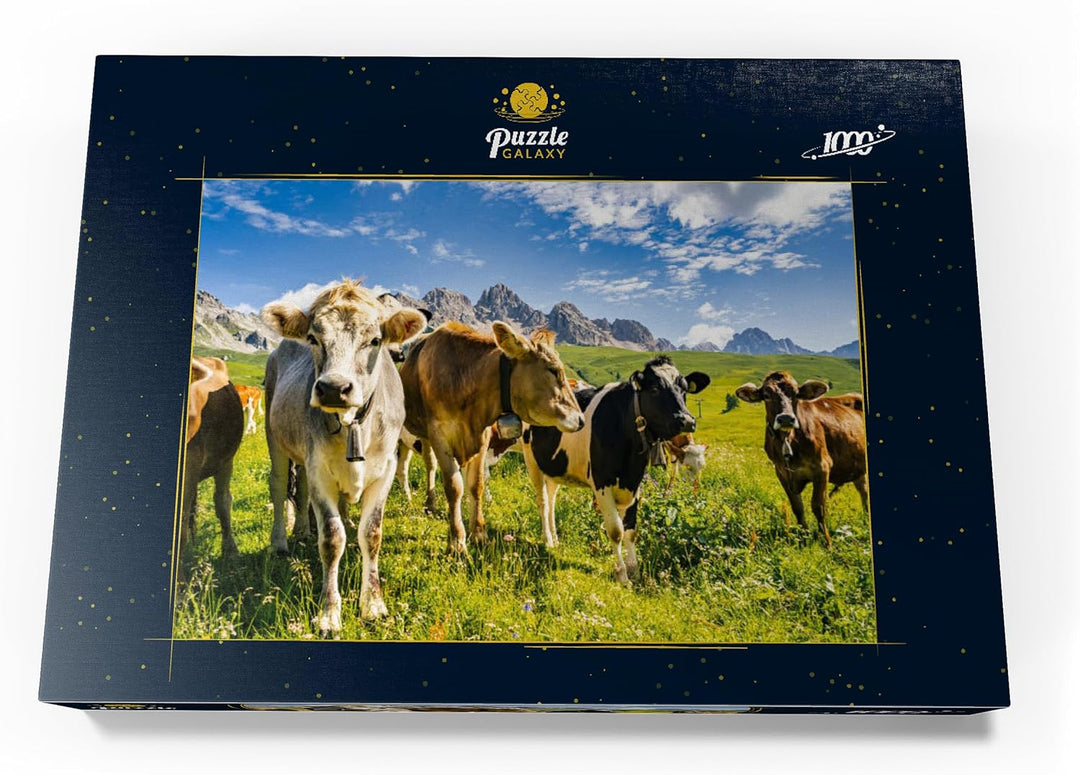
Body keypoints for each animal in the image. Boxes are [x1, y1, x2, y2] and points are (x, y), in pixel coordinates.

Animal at [262, 280, 427, 633]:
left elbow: (372, 534)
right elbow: (332, 539)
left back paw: (303, 531)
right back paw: (281, 541)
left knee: (302, 489)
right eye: (313, 338)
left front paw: (373, 605)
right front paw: (329, 612)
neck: (354, 425)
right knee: (280, 487)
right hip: (275, 437)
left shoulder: (385, 470)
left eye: (375, 340)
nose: (334, 389)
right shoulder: (321, 472)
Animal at [399, 322, 585, 553]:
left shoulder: (483, 435)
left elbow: (476, 484)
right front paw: (457, 540)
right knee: (418, 466)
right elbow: (454, 487)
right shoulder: (439, 434)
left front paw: (479, 533)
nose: (581, 419)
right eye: (553, 370)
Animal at [522, 356, 710, 583]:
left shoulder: (634, 484)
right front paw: (621, 574)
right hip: (531, 460)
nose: (687, 421)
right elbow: (616, 531)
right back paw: (548, 540)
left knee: (551, 500)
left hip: (554, 466)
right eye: (655, 388)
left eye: (684, 389)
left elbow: (631, 530)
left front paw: (634, 569)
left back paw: (556, 539)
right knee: (542, 502)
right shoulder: (601, 483)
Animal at [735, 372, 868, 548]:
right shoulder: (782, 472)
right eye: (766, 395)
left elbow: (818, 506)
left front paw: (827, 543)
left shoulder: (822, 467)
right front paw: (804, 538)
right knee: (863, 491)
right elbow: (797, 507)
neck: (788, 439)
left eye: (796, 394)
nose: (786, 418)